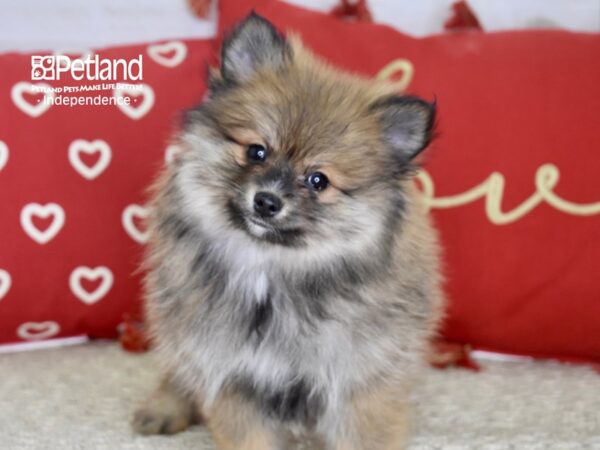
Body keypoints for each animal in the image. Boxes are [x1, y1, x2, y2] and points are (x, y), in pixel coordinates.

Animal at [135, 12, 446, 448]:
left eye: (318, 180)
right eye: (256, 152)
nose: (266, 201)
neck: (272, 269)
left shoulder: (361, 382)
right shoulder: (233, 377)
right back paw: (163, 408)